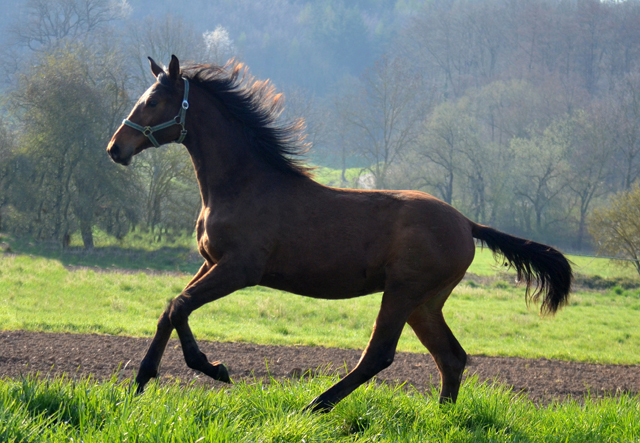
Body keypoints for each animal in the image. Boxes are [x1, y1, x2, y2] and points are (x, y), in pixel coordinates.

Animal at [107, 55, 572, 412]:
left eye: (153, 100)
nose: (115, 148)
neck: (243, 184)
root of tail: (467, 223)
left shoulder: (240, 268)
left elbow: (181, 306)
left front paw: (213, 368)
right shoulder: (212, 263)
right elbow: (170, 308)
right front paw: (140, 383)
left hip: (403, 292)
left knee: (379, 355)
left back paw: (315, 405)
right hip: (425, 302)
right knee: (451, 357)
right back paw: (442, 416)